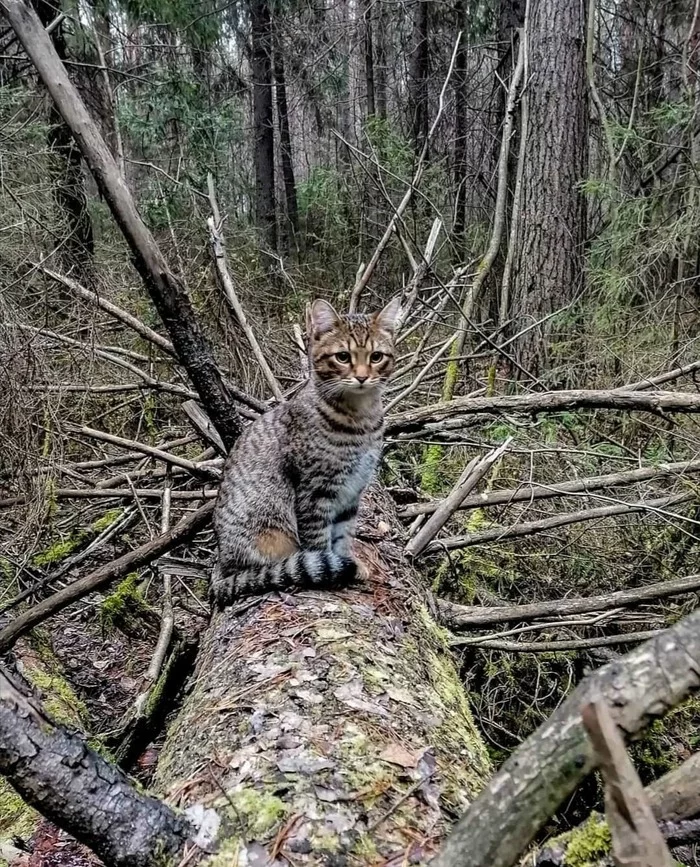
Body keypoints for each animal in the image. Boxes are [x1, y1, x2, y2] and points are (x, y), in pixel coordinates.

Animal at [211, 294, 400, 608]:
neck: (361, 419)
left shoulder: (353, 490)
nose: (362, 377)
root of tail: (218, 568)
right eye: (343, 357)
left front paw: (349, 562)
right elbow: (319, 540)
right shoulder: (315, 490)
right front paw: (332, 572)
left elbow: (343, 536)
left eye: (376, 357)